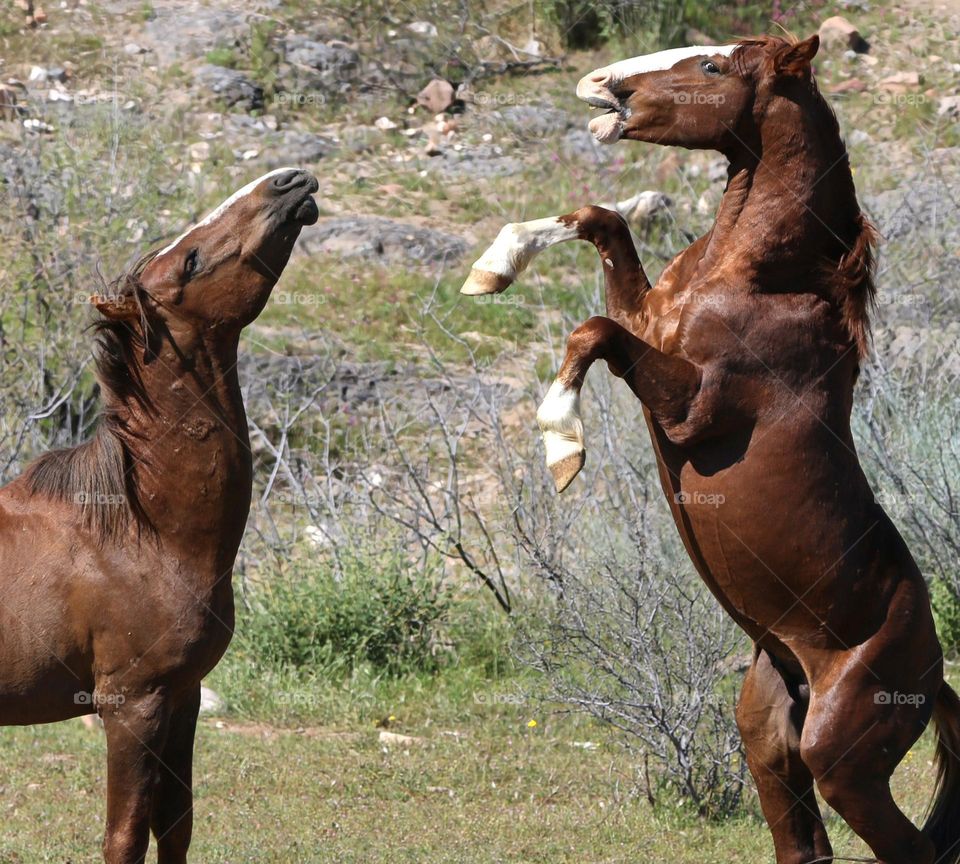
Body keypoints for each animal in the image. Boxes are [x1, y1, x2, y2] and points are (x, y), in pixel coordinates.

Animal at [0, 167, 318, 863]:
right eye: (191, 260)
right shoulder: (132, 705)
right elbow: (124, 836)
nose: (289, 182)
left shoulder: (183, 697)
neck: (140, 537)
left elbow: (174, 826)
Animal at [462, 35, 960, 864]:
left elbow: (592, 331)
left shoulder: (689, 408)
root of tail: (934, 674)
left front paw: (562, 449)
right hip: (770, 739)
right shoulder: (650, 322)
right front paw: (492, 268)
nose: (601, 86)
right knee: (806, 844)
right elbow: (599, 223)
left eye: (714, 69)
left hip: (845, 759)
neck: (758, 277)